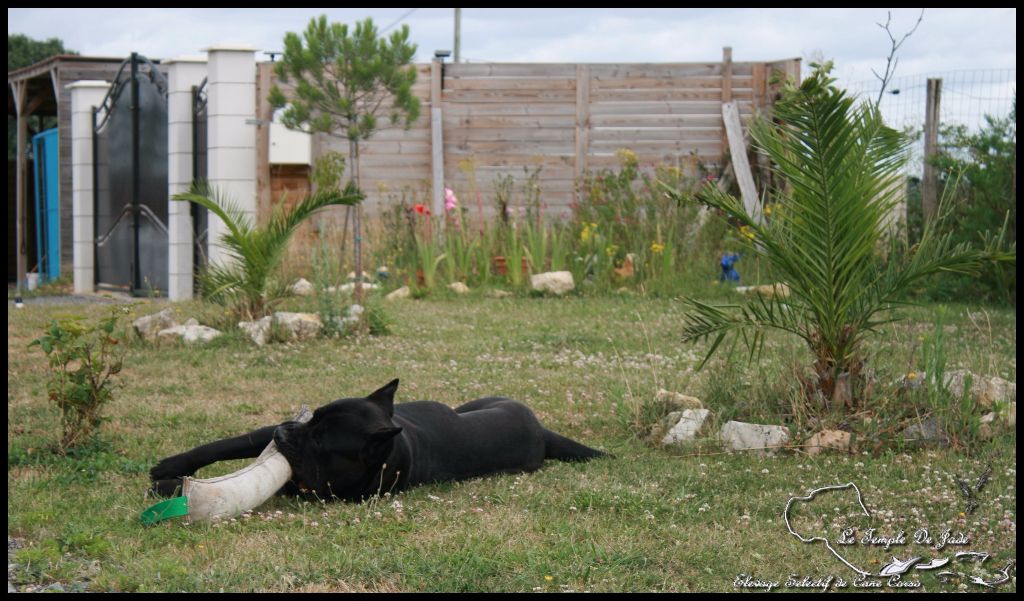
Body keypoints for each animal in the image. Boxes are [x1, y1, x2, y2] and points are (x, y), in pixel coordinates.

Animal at [148, 380, 602, 503]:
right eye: (313, 418)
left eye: (322, 440)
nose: (284, 428)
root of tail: (541, 430)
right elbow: (225, 444)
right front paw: (170, 469)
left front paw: (171, 487)